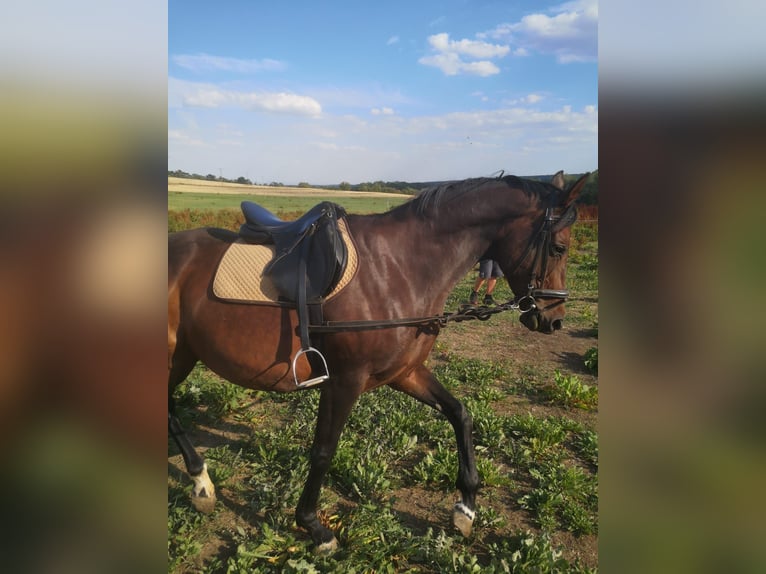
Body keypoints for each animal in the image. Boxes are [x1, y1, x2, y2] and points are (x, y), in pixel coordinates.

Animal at [170, 170, 588, 552]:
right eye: (559, 248)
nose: (554, 319)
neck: (398, 268)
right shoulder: (345, 379)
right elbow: (323, 450)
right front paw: (314, 527)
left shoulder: (404, 372)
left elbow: (460, 413)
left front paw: (466, 506)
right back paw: (201, 482)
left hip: (185, 354)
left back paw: (201, 482)